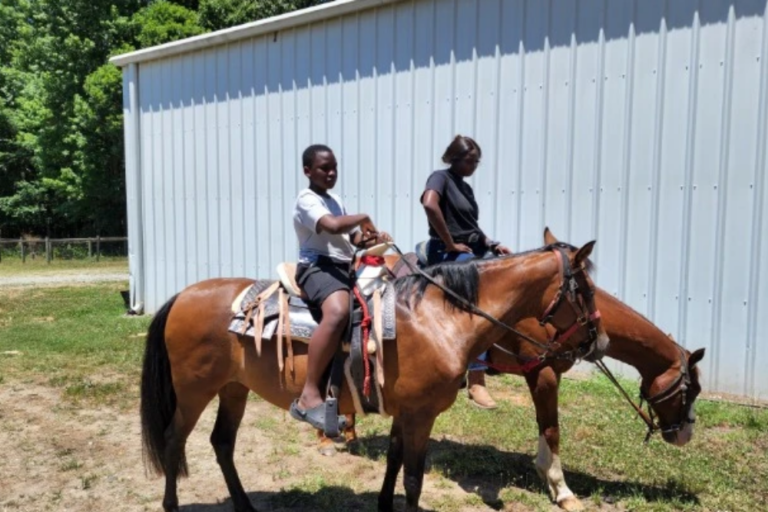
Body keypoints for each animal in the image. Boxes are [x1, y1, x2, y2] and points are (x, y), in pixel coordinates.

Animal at [139, 240, 608, 512]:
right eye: (585, 290)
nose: (599, 342)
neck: (439, 317)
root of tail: (182, 295)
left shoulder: (406, 412)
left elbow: (394, 462)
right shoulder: (421, 415)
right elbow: (413, 479)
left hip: (233, 388)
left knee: (222, 443)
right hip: (194, 390)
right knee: (173, 440)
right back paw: (171, 505)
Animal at [321, 228, 705, 512]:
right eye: (692, 390)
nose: (684, 434)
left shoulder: (547, 372)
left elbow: (544, 426)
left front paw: (545, 473)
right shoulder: (543, 373)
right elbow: (552, 428)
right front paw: (562, 489)